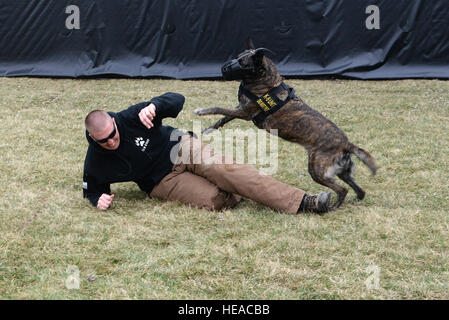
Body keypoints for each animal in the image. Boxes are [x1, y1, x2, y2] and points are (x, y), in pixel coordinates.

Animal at [192, 38, 374, 210]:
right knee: (359, 190)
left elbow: (218, 109)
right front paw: (208, 129)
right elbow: (224, 118)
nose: (222, 68)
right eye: (237, 57)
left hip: (317, 170)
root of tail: (346, 144)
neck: (264, 79)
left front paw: (201, 111)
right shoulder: (241, 109)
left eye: (243, 63)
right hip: (342, 172)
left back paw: (332, 207)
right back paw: (354, 199)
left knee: (342, 189)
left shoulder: (245, 112)